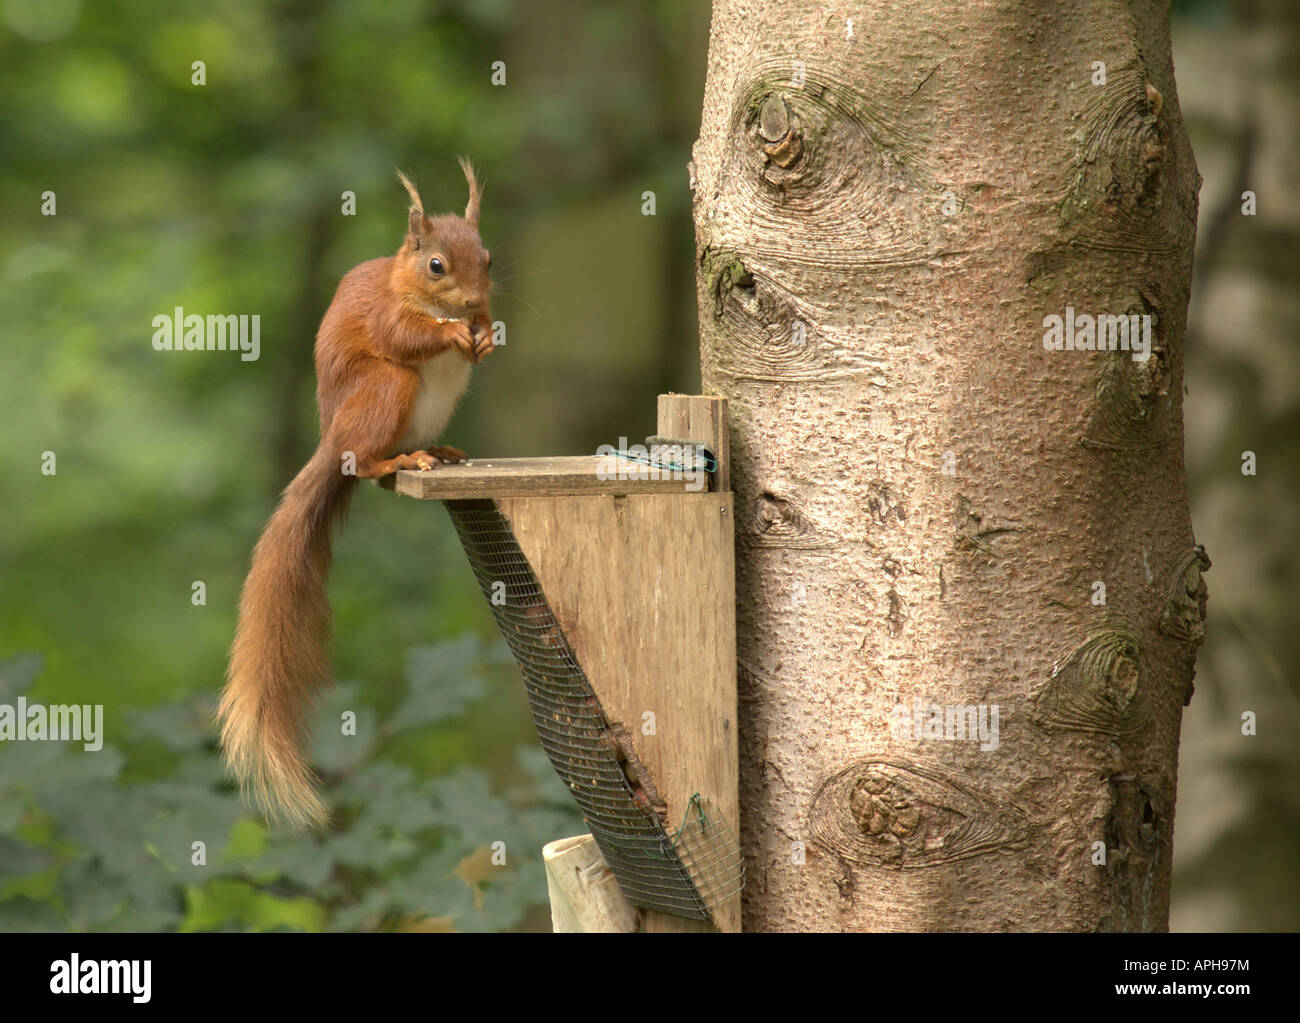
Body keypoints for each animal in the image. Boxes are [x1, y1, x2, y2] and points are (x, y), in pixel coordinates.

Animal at [218, 161, 491, 831]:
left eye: (490, 259)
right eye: (436, 265)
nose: (472, 304)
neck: (409, 284)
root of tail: (332, 442)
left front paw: (487, 334)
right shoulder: (389, 314)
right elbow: (406, 333)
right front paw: (453, 333)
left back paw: (440, 450)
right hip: (384, 390)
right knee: (369, 465)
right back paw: (403, 459)